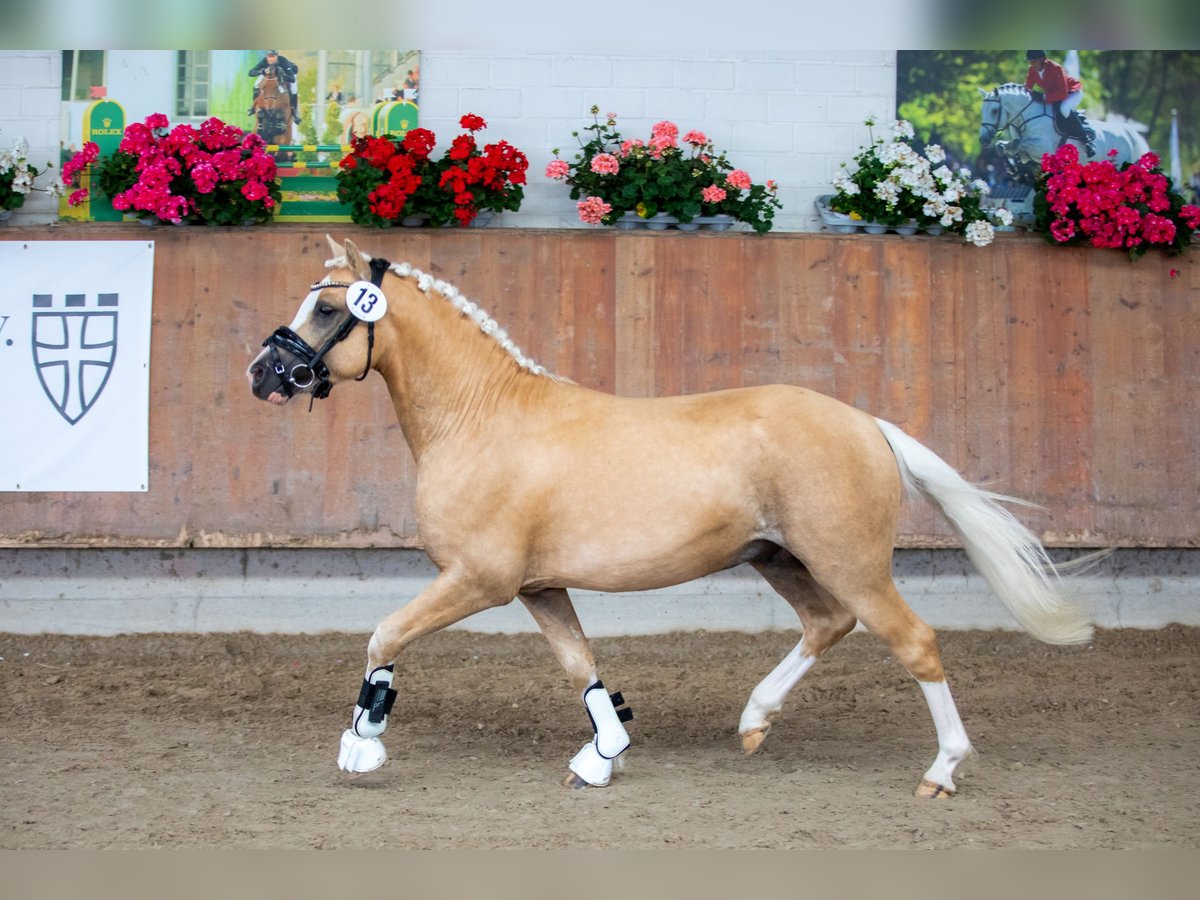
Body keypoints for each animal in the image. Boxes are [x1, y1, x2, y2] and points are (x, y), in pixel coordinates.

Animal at [246, 237, 1099, 796]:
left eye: (328, 307)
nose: (263, 373)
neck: (483, 417)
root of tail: (867, 424)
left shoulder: (478, 580)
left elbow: (384, 636)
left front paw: (362, 746)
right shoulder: (537, 588)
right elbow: (580, 667)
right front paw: (603, 754)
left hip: (849, 561)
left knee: (915, 643)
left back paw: (942, 771)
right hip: (780, 558)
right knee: (828, 625)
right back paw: (755, 720)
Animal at [979, 82, 1147, 174]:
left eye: (994, 111)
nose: (983, 140)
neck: (1027, 116)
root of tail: (1127, 132)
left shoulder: (1041, 147)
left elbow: (1017, 143)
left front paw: (1014, 169)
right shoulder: (1027, 154)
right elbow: (1002, 146)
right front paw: (1012, 169)